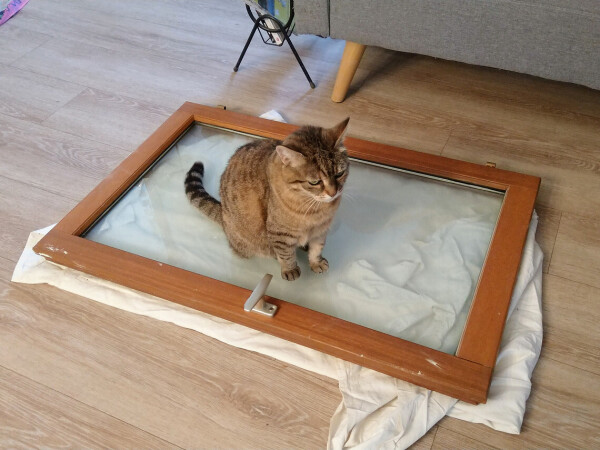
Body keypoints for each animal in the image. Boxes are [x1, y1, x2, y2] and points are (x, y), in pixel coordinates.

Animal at [185, 118, 350, 280]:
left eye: (339, 174)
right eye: (315, 182)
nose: (333, 192)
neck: (315, 208)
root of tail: (222, 214)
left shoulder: (321, 229)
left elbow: (317, 248)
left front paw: (316, 262)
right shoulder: (280, 233)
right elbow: (286, 254)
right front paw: (290, 269)